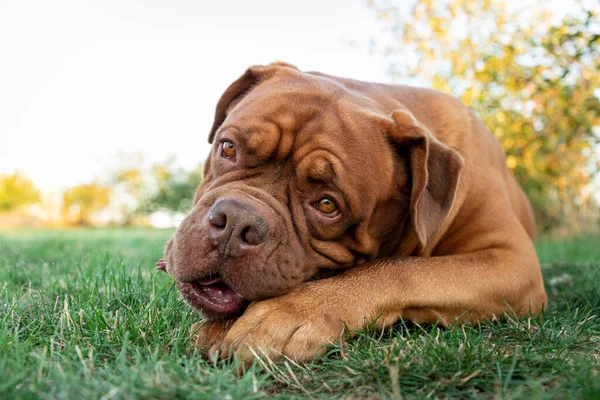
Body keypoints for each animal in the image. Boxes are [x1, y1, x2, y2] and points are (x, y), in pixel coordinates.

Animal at [158, 61, 548, 366]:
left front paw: (290, 314)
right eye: (228, 148)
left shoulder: (511, 261)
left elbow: (404, 269)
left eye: (327, 204)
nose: (237, 223)